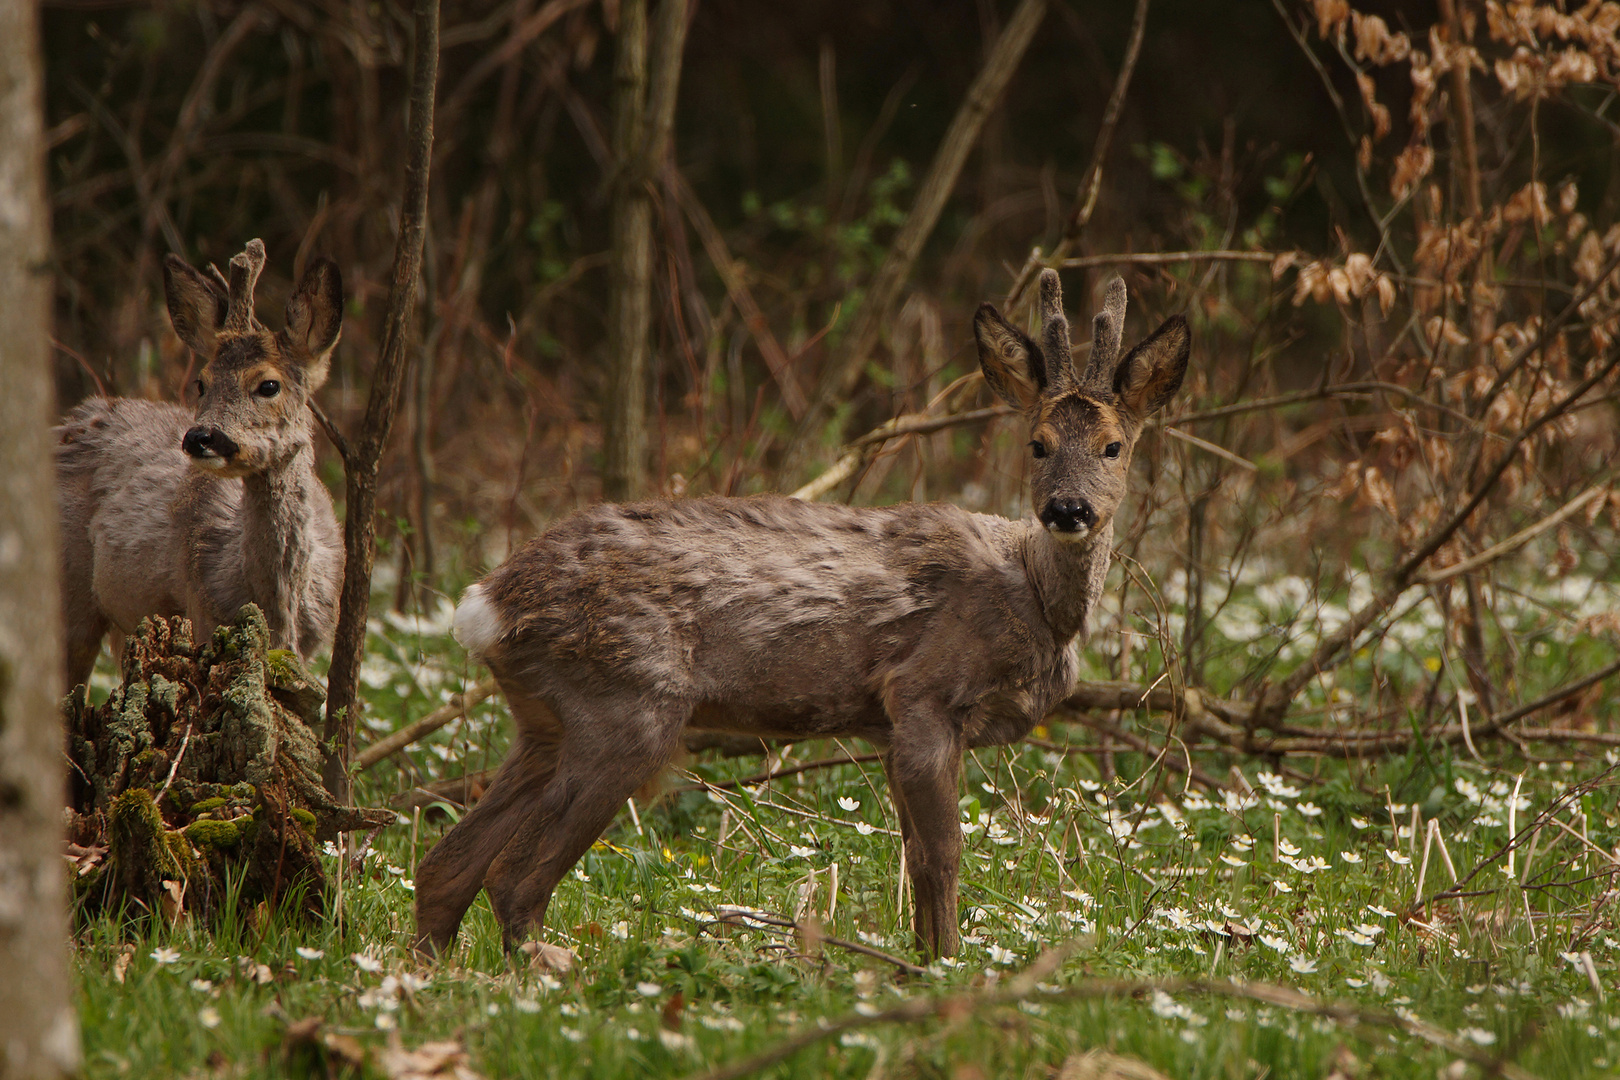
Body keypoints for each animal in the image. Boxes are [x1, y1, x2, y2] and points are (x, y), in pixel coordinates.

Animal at [57, 241, 345, 689]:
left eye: (269, 385)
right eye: (201, 383)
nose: (200, 437)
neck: (279, 609)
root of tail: (75, 416)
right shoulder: (203, 614)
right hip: (68, 586)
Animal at [417, 272, 1192, 965]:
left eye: (1114, 446)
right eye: (1037, 443)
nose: (1068, 509)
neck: (1032, 596)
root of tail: (490, 601)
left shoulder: (888, 728)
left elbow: (913, 854)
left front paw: (918, 961)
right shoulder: (922, 695)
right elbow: (942, 853)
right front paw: (946, 966)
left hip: (545, 721)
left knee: (443, 864)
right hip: (625, 704)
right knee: (511, 876)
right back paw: (548, 965)